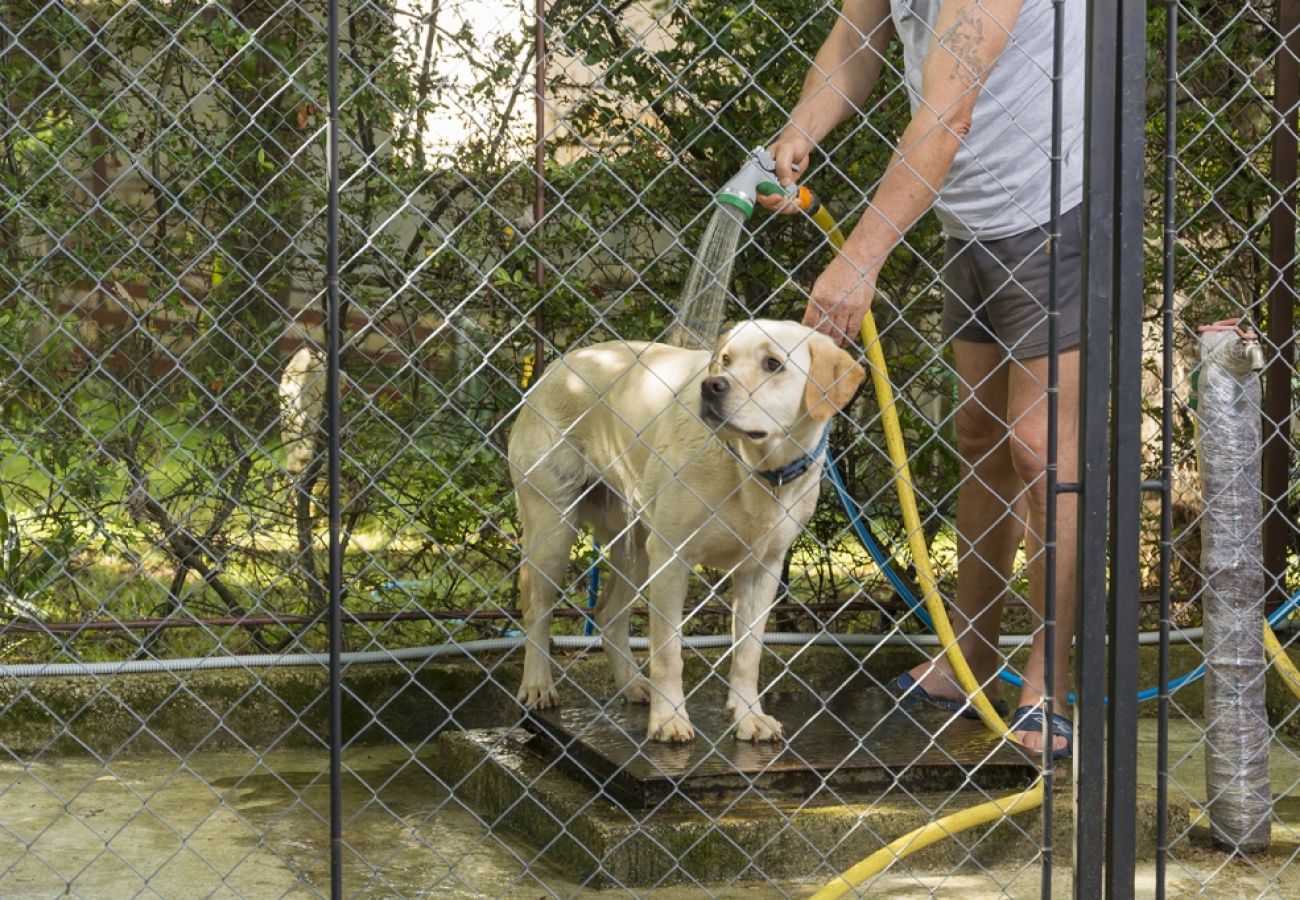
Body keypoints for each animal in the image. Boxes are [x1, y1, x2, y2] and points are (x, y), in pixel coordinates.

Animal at [506, 319, 863, 743]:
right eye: (724, 360)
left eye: (773, 363)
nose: (712, 386)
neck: (752, 469)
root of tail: (558, 366)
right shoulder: (672, 559)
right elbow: (667, 654)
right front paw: (669, 720)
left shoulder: (763, 569)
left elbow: (748, 654)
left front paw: (749, 717)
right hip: (554, 531)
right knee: (537, 613)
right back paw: (538, 685)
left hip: (637, 548)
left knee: (608, 614)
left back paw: (633, 686)